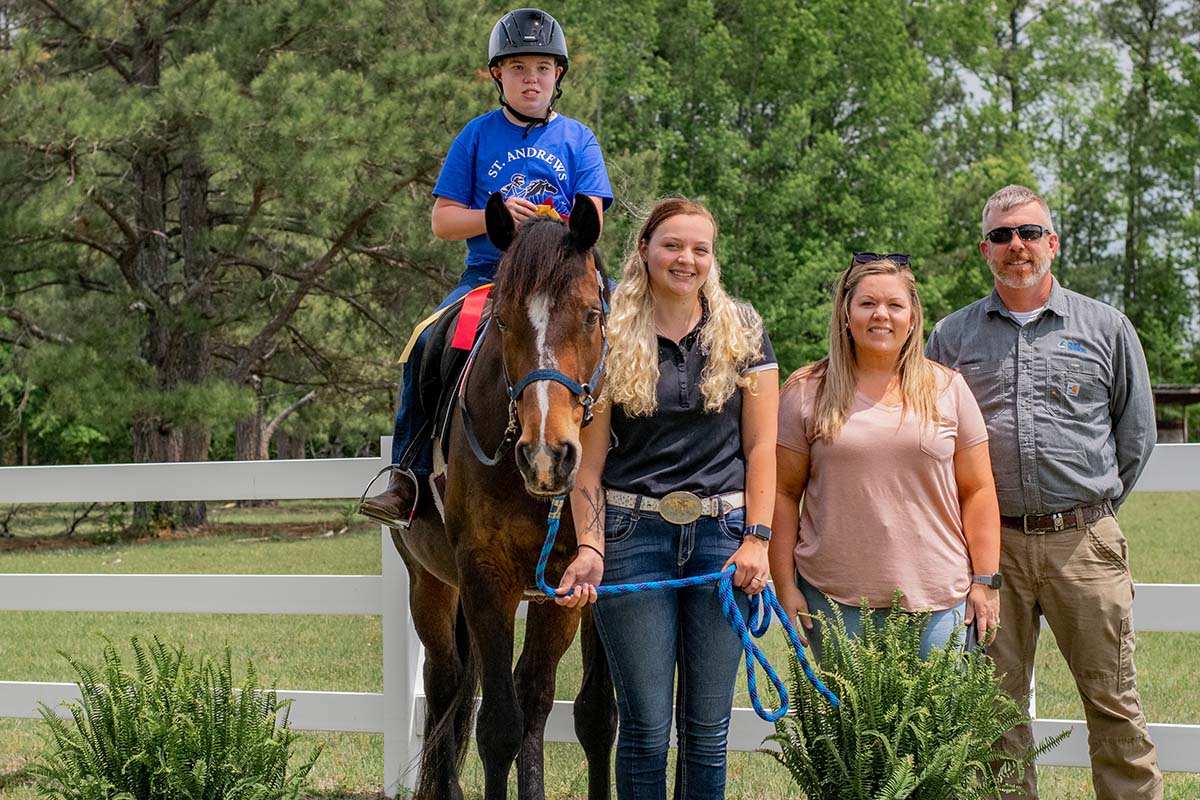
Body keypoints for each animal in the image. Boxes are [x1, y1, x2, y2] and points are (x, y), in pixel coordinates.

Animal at [391, 194, 619, 800]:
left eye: (591, 314)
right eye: (502, 320)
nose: (547, 455)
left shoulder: (574, 585)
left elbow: (581, 711)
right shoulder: (485, 575)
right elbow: (497, 725)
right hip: (430, 584)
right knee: (445, 686)